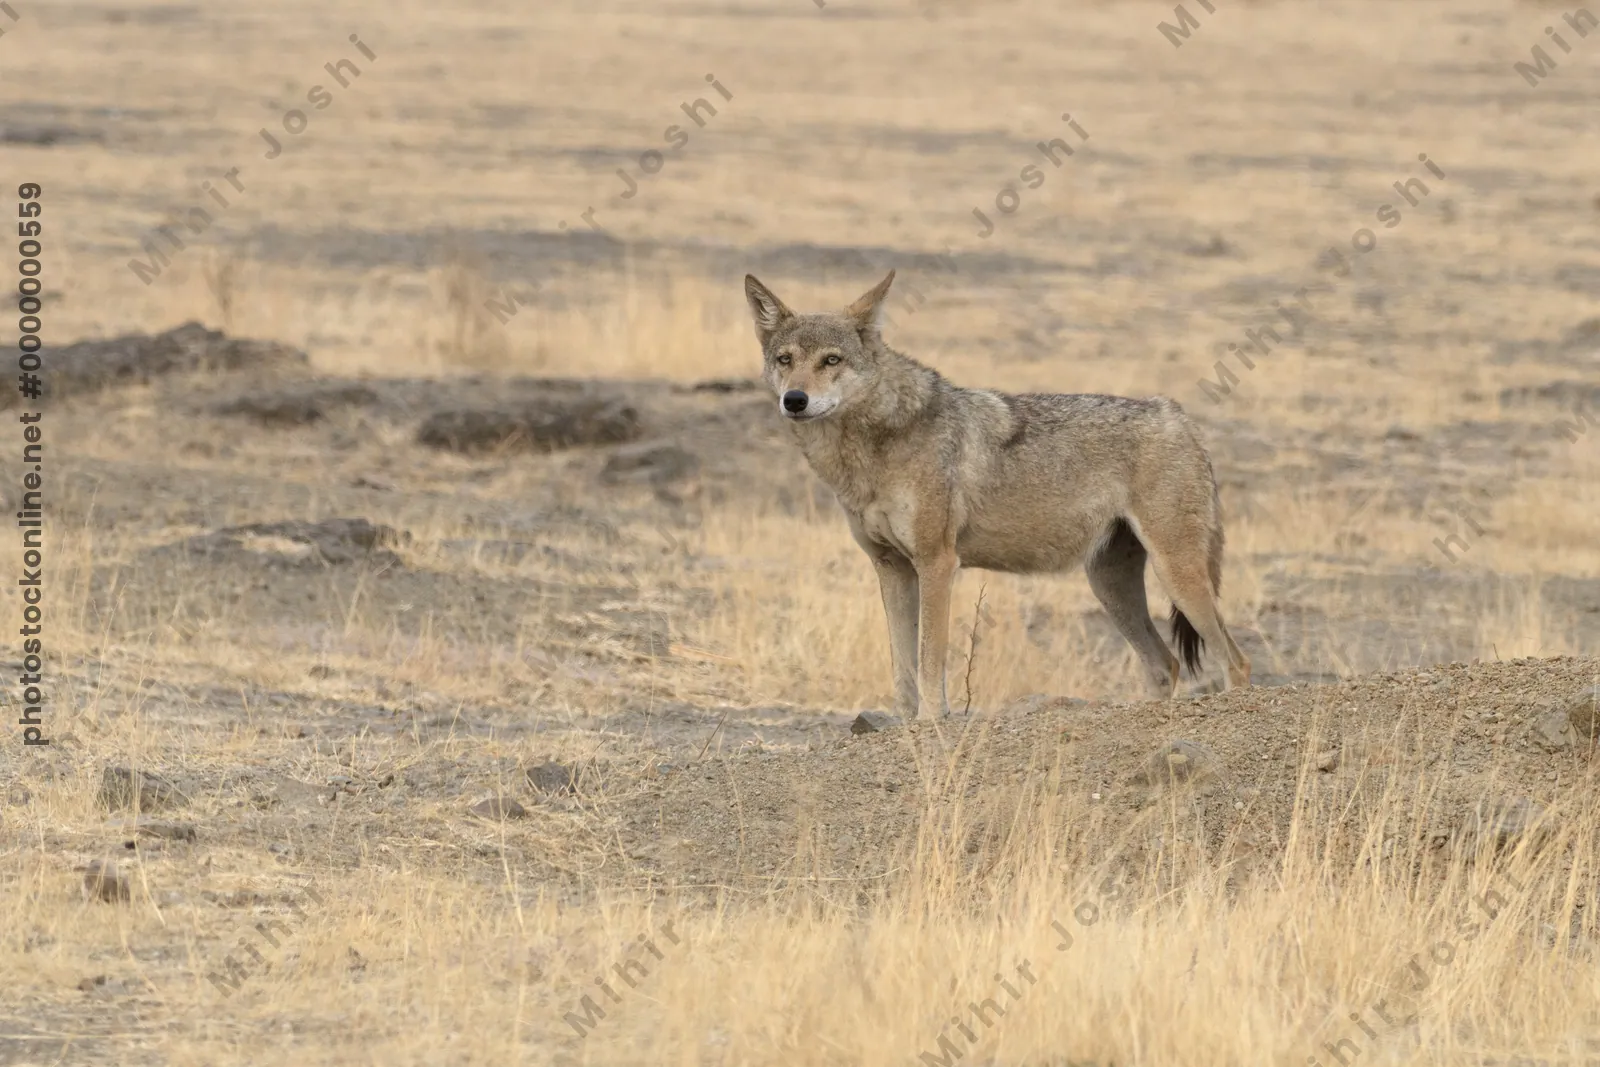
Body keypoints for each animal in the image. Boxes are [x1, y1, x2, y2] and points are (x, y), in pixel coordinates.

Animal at [743, 269, 1250, 720]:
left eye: (831, 360)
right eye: (785, 359)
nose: (795, 400)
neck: (870, 449)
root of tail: (1179, 416)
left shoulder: (937, 563)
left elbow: (929, 659)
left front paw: (930, 723)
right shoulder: (891, 567)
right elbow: (902, 666)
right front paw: (904, 727)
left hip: (1177, 575)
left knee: (1235, 661)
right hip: (1110, 586)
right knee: (1165, 663)